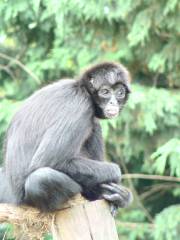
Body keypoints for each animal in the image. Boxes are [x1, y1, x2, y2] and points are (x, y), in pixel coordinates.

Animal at [0, 62, 132, 212]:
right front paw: (115, 173)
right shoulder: (79, 107)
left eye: (120, 93)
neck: (82, 89)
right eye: (105, 92)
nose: (113, 102)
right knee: (40, 178)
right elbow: (48, 161)